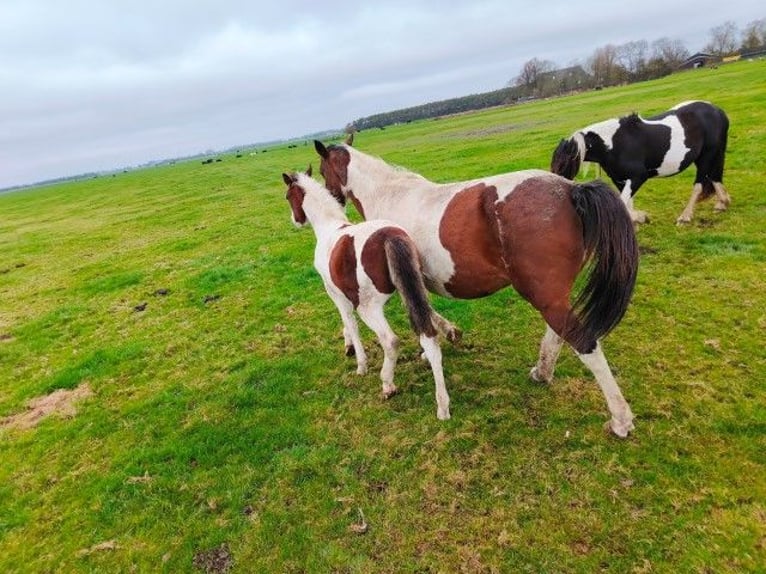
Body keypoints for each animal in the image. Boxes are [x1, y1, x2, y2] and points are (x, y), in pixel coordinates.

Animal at [284, 169, 460, 420]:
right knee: (428, 335)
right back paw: (443, 405)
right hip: (414, 286)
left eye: (288, 196)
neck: (329, 228)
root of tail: (389, 236)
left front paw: (359, 363)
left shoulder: (336, 294)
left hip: (368, 308)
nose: (296, 220)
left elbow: (349, 323)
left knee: (391, 341)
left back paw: (388, 384)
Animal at [316, 142, 644, 438]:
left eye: (322, 171)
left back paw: (620, 421)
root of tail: (570, 190)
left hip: (546, 297)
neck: (389, 194)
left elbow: (423, 315)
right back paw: (542, 373)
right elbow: (427, 312)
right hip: (552, 297)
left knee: (585, 344)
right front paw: (445, 336)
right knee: (560, 333)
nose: (333, 200)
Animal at [552, 100, 732, 226]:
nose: (555, 192)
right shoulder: (620, 180)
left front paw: (642, 218)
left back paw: (685, 217)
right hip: (705, 157)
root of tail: (717, 111)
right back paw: (722, 203)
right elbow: (627, 204)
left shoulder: (638, 177)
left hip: (707, 156)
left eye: (563, 164)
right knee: (714, 176)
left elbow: (624, 203)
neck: (614, 144)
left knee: (699, 184)